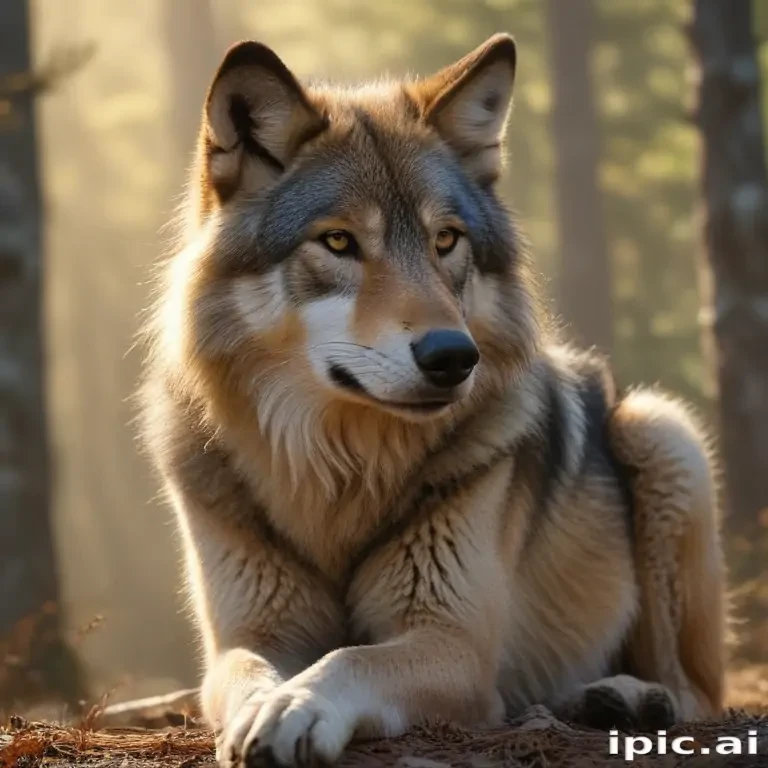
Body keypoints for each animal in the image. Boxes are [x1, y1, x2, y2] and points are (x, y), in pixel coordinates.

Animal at [139, 33, 726, 768]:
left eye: (445, 240)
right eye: (338, 241)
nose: (453, 357)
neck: (338, 471)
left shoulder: (456, 644)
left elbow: (351, 659)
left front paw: (297, 706)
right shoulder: (249, 635)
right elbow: (247, 673)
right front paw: (262, 707)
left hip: (662, 432)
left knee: (698, 690)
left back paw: (626, 696)